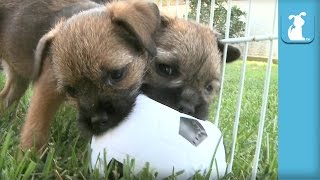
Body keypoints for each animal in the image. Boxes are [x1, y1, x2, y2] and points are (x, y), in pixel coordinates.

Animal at [0, 0, 160, 149]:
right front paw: (28, 155)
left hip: (18, 79)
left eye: (117, 74)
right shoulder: (46, 90)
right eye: (71, 90)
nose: (97, 121)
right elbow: (36, 127)